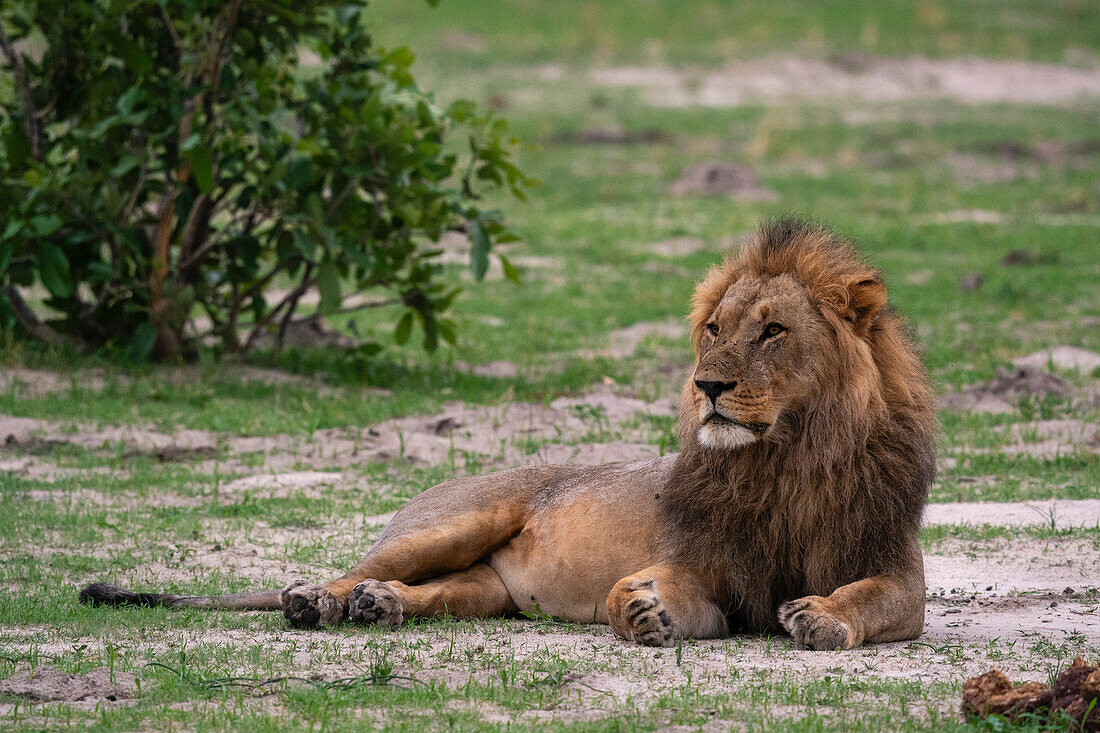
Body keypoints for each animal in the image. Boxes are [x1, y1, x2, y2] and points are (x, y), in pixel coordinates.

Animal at [79, 215, 937, 647]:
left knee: (433, 593)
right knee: (345, 567)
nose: (709, 386)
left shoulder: (899, 572)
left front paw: (822, 615)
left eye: (772, 331)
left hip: (486, 590)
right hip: (452, 520)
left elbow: (871, 599)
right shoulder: (711, 562)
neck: (788, 460)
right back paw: (315, 602)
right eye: (714, 330)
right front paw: (643, 607)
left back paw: (377, 607)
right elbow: (665, 593)